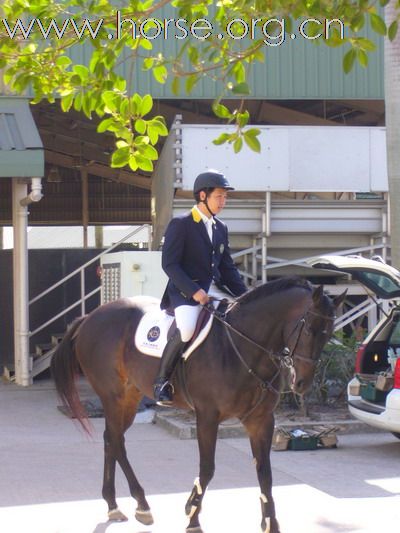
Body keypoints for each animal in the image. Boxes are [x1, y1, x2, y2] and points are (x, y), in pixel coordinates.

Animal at [50, 276, 344, 528]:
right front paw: (192, 515)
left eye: (329, 333)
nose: (302, 383)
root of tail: (90, 316)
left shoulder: (261, 419)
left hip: (130, 398)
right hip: (113, 396)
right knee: (116, 441)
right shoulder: (207, 416)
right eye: (309, 330)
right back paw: (141, 504)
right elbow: (207, 468)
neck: (243, 346)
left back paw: (113, 504)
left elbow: (265, 472)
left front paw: (270, 523)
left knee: (111, 439)